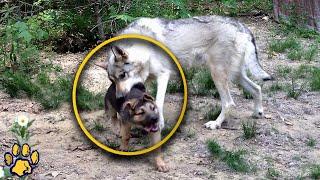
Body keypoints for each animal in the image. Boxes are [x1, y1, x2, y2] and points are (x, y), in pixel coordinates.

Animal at [96, 15, 272, 131]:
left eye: (122, 76)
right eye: (112, 80)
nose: (119, 97)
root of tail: (240, 25)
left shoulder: (163, 75)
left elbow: (158, 101)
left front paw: (159, 124)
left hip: (217, 75)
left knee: (229, 103)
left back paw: (215, 124)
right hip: (236, 76)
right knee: (257, 88)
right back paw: (258, 112)